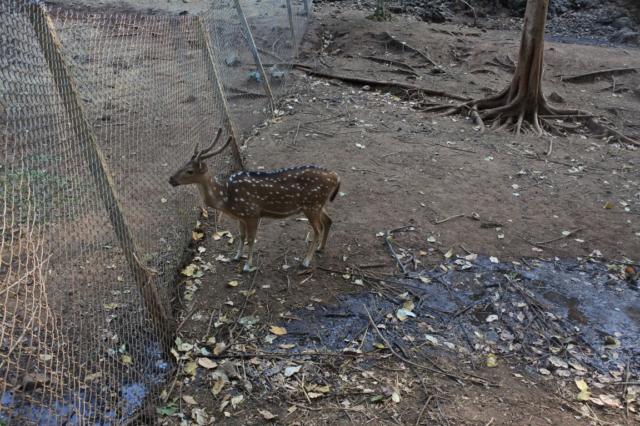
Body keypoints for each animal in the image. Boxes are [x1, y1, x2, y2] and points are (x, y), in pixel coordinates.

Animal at [168, 129, 341, 273]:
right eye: (183, 164)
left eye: (190, 171)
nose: (171, 179)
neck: (226, 199)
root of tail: (336, 177)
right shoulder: (241, 217)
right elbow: (241, 236)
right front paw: (236, 256)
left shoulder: (252, 213)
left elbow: (251, 239)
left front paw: (247, 265)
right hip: (318, 205)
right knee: (329, 220)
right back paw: (320, 248)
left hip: (312, 205)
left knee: (317, 229)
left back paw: (305, 261)